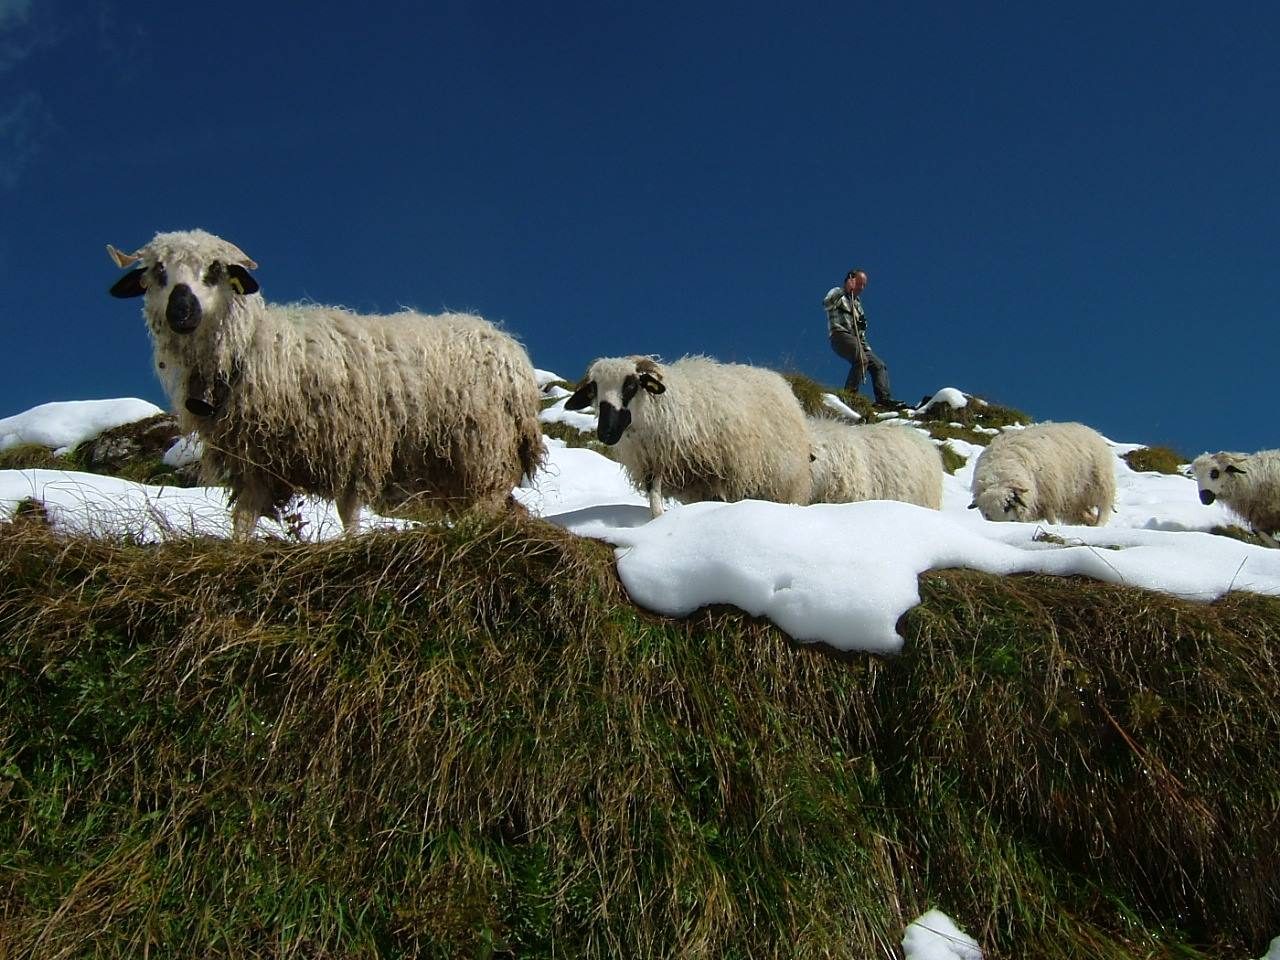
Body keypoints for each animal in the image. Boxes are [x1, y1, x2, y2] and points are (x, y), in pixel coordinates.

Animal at [110, 229, 545, 537]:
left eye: (214, 271)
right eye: (157, 273)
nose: (182, 311)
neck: (252, 347)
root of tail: (509, 347)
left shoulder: (352, 443)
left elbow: (348, 513)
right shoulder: (254, 461)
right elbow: (244, 519)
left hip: (482, 446)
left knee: (486, 504)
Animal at [563, 355, 808, 519]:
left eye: (631, 385)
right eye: (593, 391)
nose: (606, 433)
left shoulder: (721, 469)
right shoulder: (654, 459)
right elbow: (654, 491)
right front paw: (658, 518)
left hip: (780, 478)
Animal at [967, 419, 1111, 527]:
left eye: (1007, 506)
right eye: (987, 514)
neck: (998, 477)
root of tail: (1088, 429)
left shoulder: (1049, 497)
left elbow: (1051, 519)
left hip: (1100, 483)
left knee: (1103, 508)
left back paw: (1099, 525)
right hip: (1073, 502)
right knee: (1086, 515)